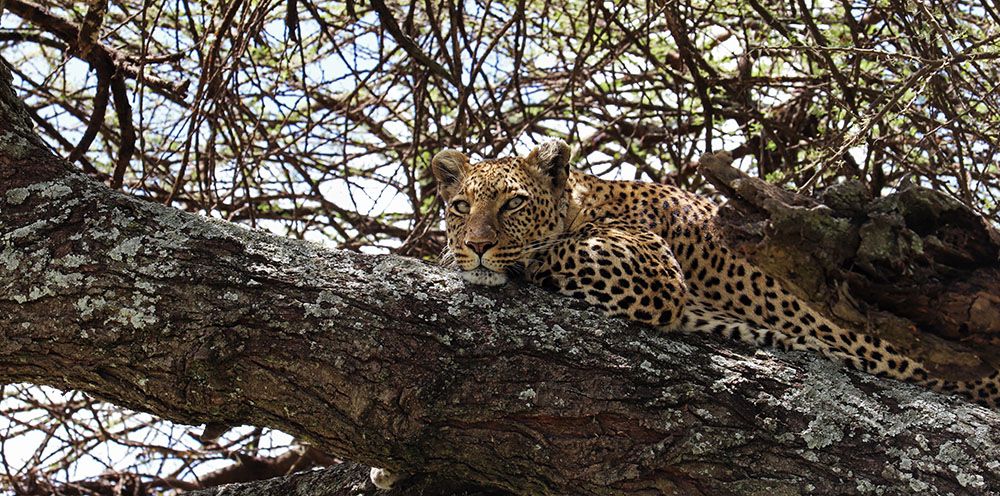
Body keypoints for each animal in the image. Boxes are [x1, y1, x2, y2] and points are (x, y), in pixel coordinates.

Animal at [370, 139, 1000, 488]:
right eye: (459, 206)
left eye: (514, 204)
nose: (476, 243)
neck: (582, 202)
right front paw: (392, 467)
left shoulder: (645, 266)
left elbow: (547, 251)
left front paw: (467, 258)